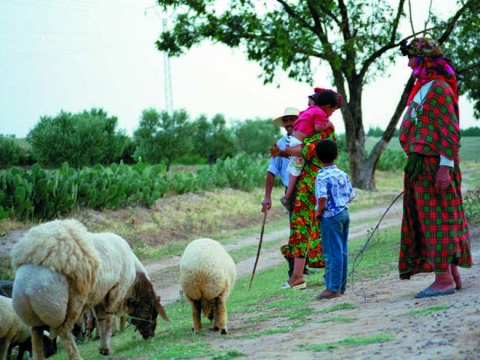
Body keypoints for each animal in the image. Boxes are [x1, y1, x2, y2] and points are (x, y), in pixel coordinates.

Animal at [9, 219, 171, 360]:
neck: (135, 281)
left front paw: (103, 346)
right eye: (150, 310)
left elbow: (101, 320)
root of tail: (28, 286)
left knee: (36, 337)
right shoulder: (116, 291)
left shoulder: (101, 295)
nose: (150, 336)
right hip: (69, 304)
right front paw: (106, 348)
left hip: (33, 315)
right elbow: (109, 319)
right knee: (65, 332)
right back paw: (76, 356)